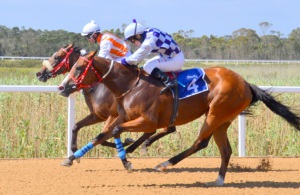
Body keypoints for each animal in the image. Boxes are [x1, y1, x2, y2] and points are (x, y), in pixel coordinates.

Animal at [35, 44, 176, 155]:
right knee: (167, 129)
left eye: (56, 57)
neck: (98, 86)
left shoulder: (113, 115)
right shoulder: (98, 115)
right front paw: (74, 148)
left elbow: (104, 136)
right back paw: (142, 145)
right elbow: (77, 127)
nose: (39, 73)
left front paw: (126, 141)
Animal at [59, 50, 298, 186]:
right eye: (73, 65)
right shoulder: (119, 117)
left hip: (216, 113)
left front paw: (127, 160)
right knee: (225, 150)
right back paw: (218, 180)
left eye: (79, 67)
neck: (130, 85)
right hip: (223, 119)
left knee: (200, 142)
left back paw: (165, 164)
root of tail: (246, 83)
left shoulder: (147, 121)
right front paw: (71, 157)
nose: (62, 87)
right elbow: (101, 135)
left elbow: (117, 132)